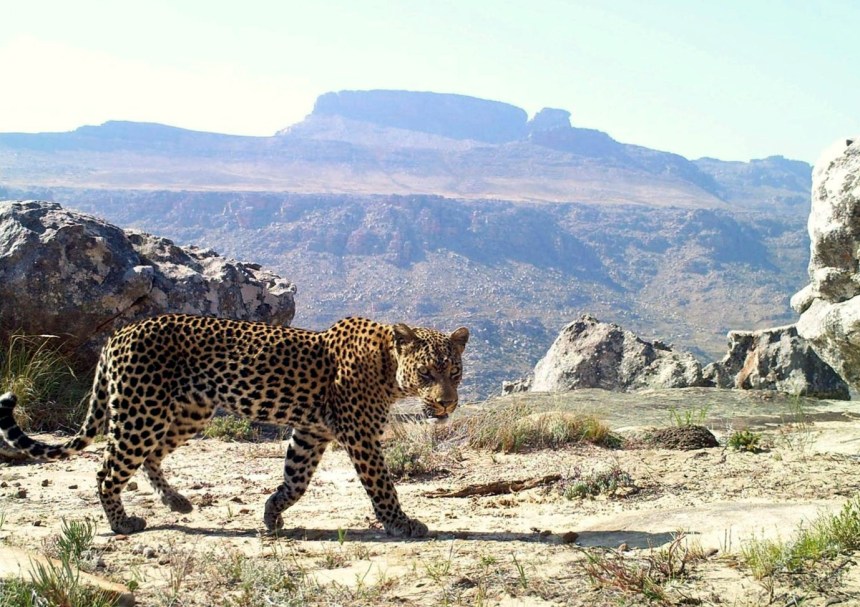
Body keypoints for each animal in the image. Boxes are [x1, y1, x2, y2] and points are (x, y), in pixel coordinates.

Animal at [0, 314, 469, 537]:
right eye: (427, 373)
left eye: (454, 372)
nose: (447, 402)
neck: (389, 368)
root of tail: (119, 332)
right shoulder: (361, 435)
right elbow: (383, 486)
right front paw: (402, 524)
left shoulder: (312, 431)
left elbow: (296, 479)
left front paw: (272, 514)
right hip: (141, 411)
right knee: (107, 471)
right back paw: (122, 523)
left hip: (186, 413)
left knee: (150, 456)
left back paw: (177, 502)